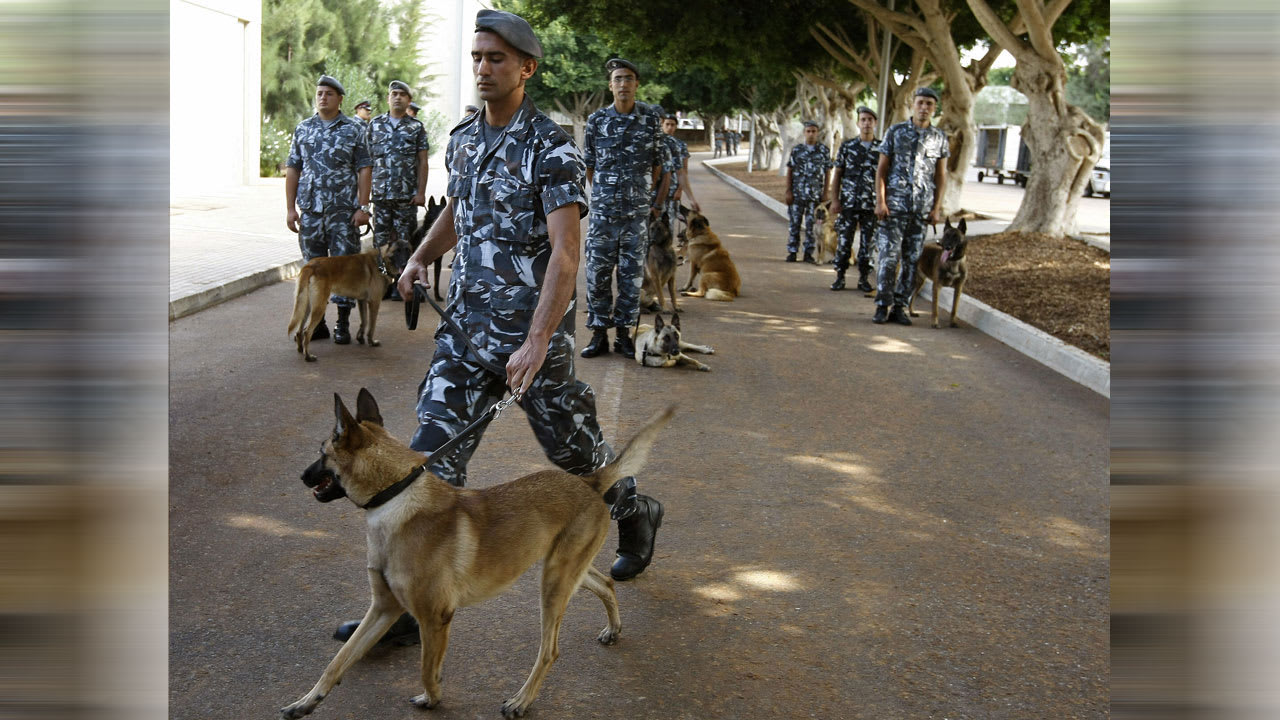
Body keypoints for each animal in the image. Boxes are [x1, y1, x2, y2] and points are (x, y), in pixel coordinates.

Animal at [282, 386, 680, 717]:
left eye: (321, 453)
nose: (301, 477)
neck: (396, 495)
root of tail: (588, 482)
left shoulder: (435, 617)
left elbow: (426, 668)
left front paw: (432, 698)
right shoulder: (384, 608)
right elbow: (338, 660)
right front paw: (306, 701)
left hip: (554, 583)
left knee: (549, 651)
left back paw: (522, 700)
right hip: (564, 572)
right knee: (604, 585)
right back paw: (613, 628)